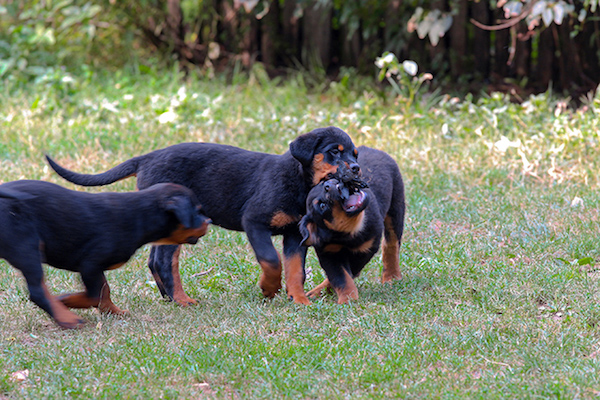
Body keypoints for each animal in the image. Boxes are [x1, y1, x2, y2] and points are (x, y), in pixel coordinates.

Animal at [0, 180, 211, 328]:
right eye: (197, 211)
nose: (209, 221)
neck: (140, 216)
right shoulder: (90, 265)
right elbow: (97, 294)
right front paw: (66, 300)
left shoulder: (94, 269)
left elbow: (104, 292)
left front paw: (114, 312)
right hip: (27, 246)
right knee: (37, 290)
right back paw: (67, 319)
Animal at [45, 126, 360, 304]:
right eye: (334, 152)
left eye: (355, 154)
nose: (357, 168)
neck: (299, 181)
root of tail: (147, 158)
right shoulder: (254, 222)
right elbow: (271, 261)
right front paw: (268, 289)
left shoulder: (294, 234)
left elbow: (295, 269)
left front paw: (299, 300)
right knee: (164, 262)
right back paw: (182, 300)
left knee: (154, 260)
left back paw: (169, 298)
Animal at [298, 147, 406, 304]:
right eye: (322, 206)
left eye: (326, 183)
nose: (328, 185)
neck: (347, 233)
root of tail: (372, 148)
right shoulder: (328, 253)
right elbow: (342, 277)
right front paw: (347, 298)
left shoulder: (365, 249)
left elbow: (347, 273)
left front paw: (345, 298)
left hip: (396, 208)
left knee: (391, 245)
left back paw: (391, 276)